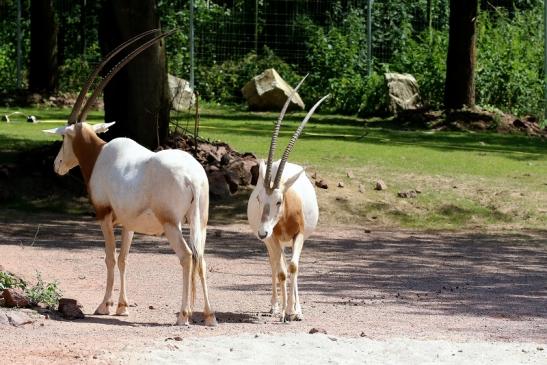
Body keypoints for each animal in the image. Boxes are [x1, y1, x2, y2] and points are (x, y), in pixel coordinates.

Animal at [41, 28, 217, 324]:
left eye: (64, 138)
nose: (57, 165)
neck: (99, 155)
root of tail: (193, 177)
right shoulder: (128, 223)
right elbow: (124, 258)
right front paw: (122, 306)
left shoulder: (103, 215)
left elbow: (110, 258)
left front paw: (104, 305)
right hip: (199, 221)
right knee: (201, 257)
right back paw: (209, 315)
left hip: (171, 224)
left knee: (187, 256)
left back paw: (183, 314)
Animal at [248, 75, 330, 320]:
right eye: (259, 200)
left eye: (279, 200)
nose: (262, 232)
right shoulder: (274, 237)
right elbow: (282, 271)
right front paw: (284, 312)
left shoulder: (299, 235)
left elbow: (294, 267)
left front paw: (295, 311)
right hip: (272, 242)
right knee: (275, 264)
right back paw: (275, 306)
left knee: (287, 264)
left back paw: (295, 308)